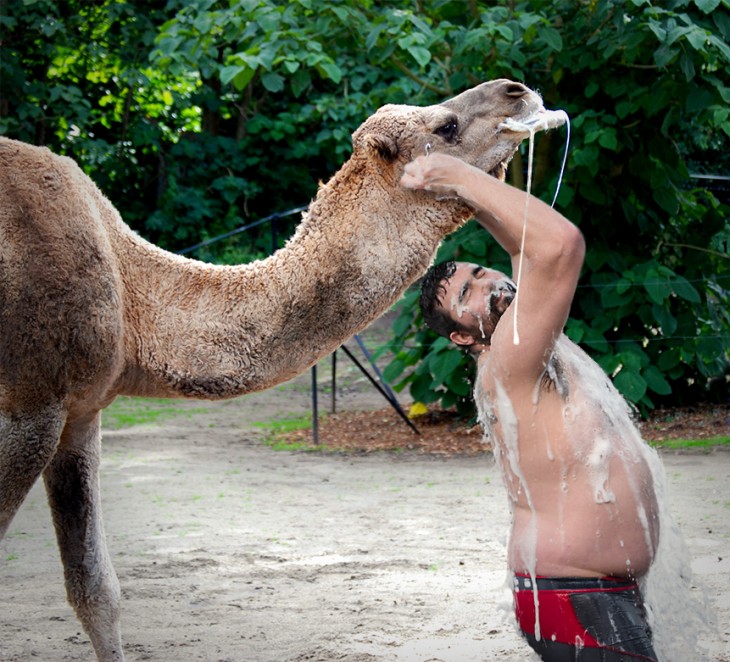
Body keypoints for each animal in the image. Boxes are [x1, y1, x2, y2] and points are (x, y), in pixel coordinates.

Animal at [0, 80, 556, 660]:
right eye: (445, 126)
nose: (517, 90)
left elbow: (94, 591)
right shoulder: (30, 407)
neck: (134, 299)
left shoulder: (80, 413)